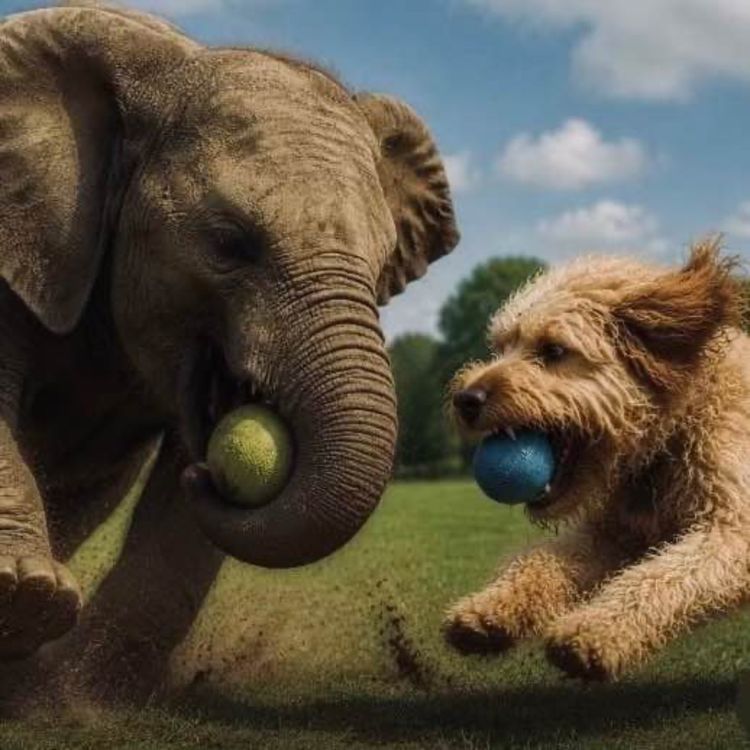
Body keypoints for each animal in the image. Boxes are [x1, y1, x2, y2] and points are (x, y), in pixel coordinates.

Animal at [0, 3, 458, 704]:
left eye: (383, 266)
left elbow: (178, 525)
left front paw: (70, 701)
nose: (214, 473)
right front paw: (29, 602)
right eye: (228, 244)